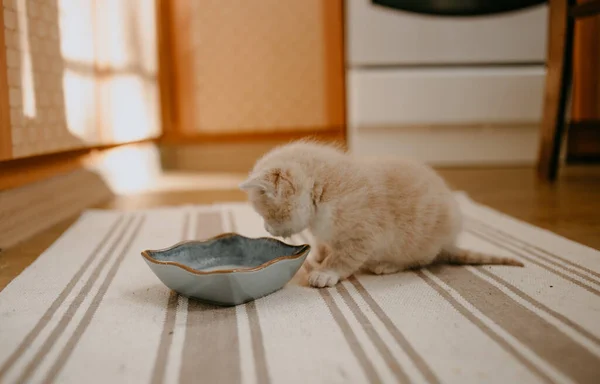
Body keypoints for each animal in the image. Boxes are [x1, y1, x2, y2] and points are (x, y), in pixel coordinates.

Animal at [238, 141, 520, 288]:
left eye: (266, 214)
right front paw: (320, 253)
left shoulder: (364, 234)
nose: (267, 229)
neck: (325, 192)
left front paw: (326, 271)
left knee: (420, 259)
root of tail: (448, 243)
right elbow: (325, 243)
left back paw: (387, 265)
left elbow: (344, 257)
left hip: (416, 243)